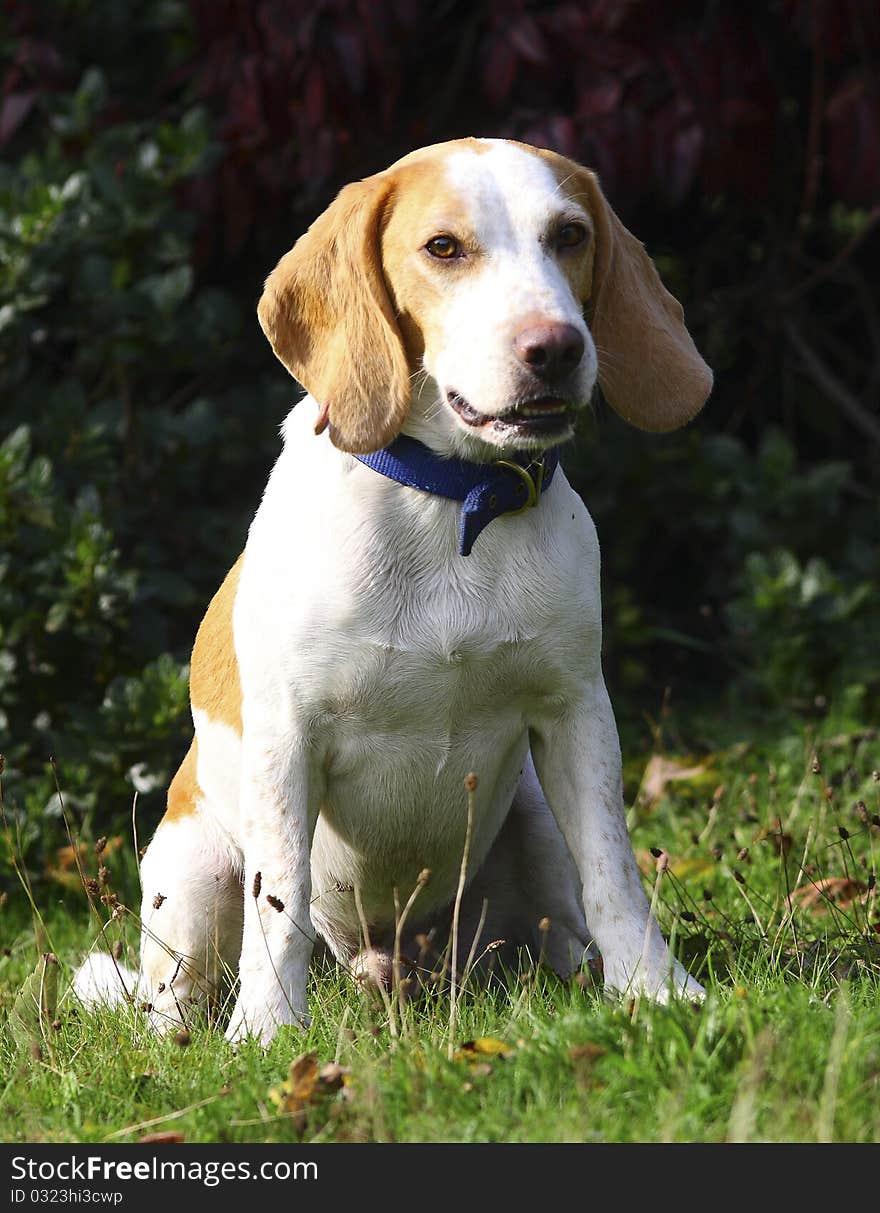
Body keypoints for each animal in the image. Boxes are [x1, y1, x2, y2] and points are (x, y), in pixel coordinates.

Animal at [73, 135, 713, 1043]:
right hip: (190, 873)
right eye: (443, 247)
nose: (555, 346)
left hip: (532, 812)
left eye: (570, 235)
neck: (452, 502)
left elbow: (615, 872)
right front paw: (268, 1030)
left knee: (563, 926)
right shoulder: (288, 740)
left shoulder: (576, 713)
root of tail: (383, 962)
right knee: (178, 995)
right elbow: (283, 900)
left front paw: (657, 988)